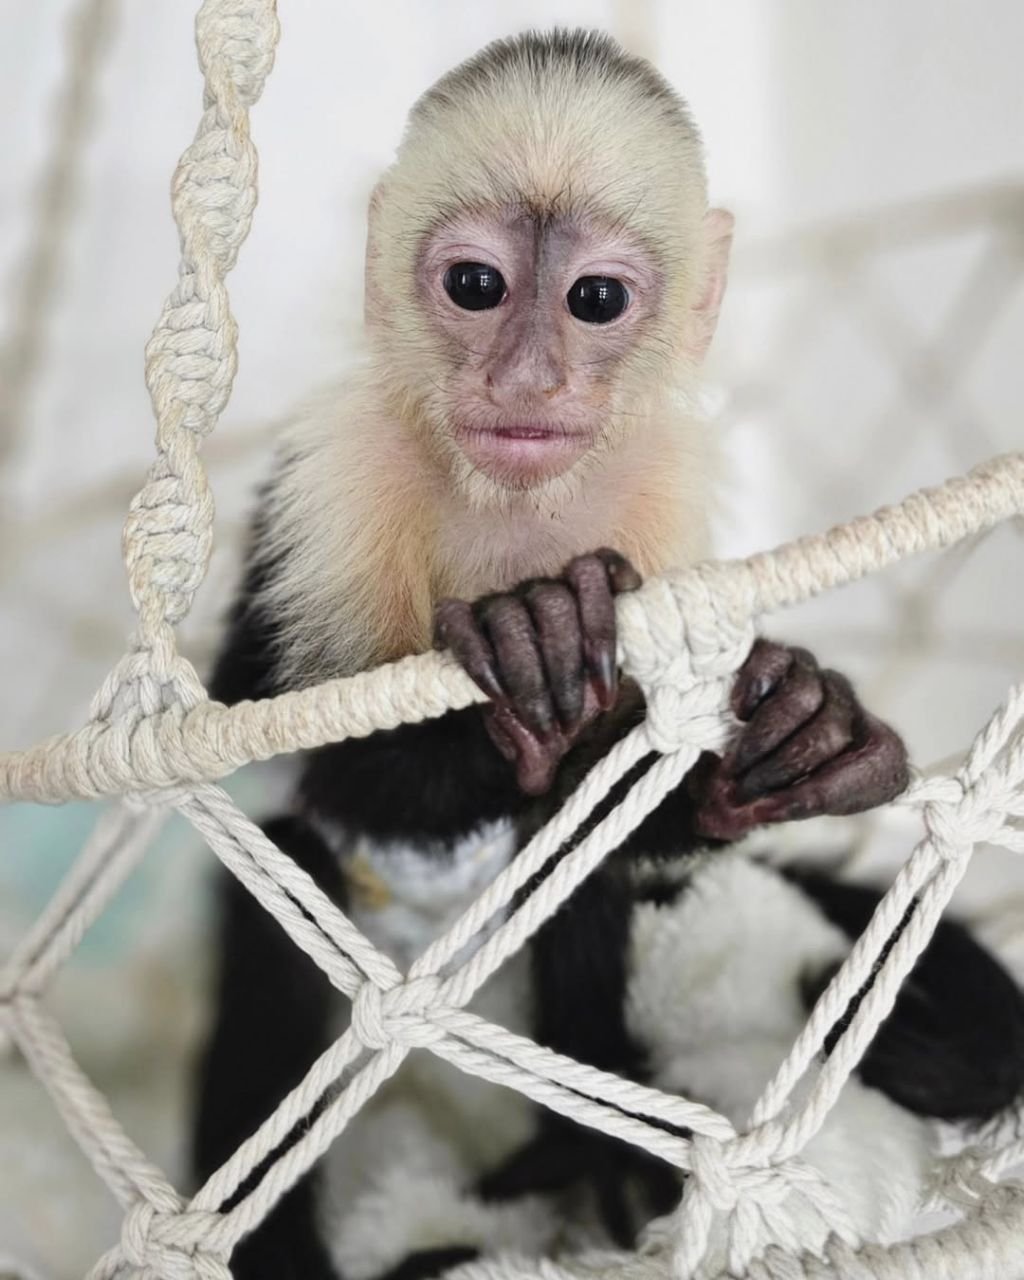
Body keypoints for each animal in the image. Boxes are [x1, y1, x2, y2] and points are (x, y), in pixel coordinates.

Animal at [191, 29, 1024, 1280]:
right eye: (475, 285)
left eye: (593, 299)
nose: (527, 380)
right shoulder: (334, 490)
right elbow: (313, 755)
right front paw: (521, 643)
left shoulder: (658, 499)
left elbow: (639, 814)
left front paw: (805, 728)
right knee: (286, 915)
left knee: (577, 878)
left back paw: (586, 1145)